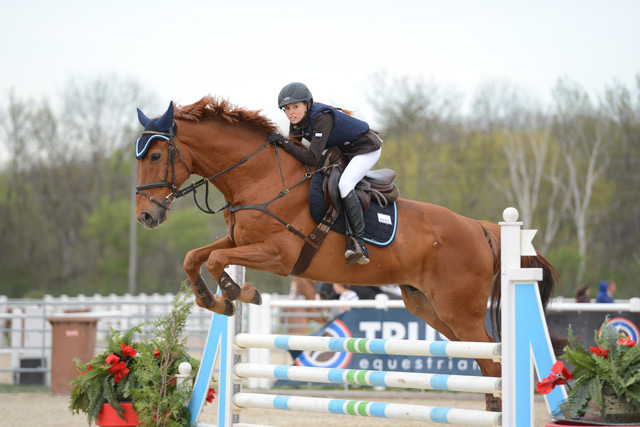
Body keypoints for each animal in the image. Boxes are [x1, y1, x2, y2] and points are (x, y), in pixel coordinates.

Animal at [135, 97, 560, 412]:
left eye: (155, 156)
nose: (145, 216)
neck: (261, 177)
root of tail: (480, 228)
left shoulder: (279, 256)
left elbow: (215, 262)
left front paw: (239, 294)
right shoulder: (238, 240)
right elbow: (195, 257)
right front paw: (213, 299)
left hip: (460, 311)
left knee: (494, 359)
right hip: (431, 309)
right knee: (487, 363)